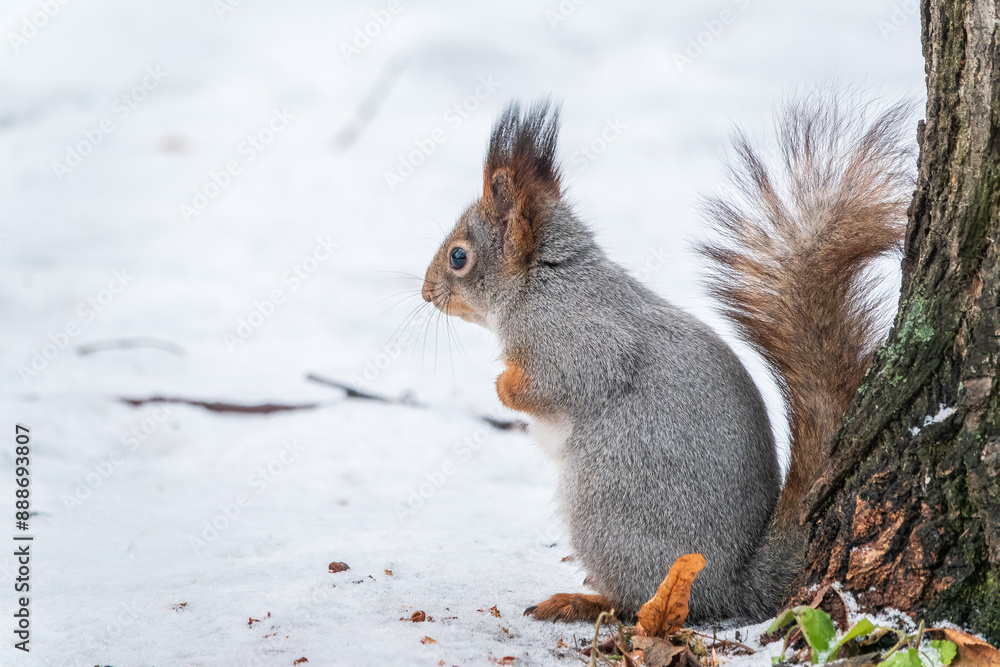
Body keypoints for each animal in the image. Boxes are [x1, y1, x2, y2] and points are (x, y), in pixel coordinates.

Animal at [421, 96, 913, 624]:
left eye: (458, 257)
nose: (426, 293)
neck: (544, 283)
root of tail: (731, 586)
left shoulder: (576, 342)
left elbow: (558, 384)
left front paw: (503, 386)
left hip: (605, 510)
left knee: (636, 601)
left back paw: (582, 601)